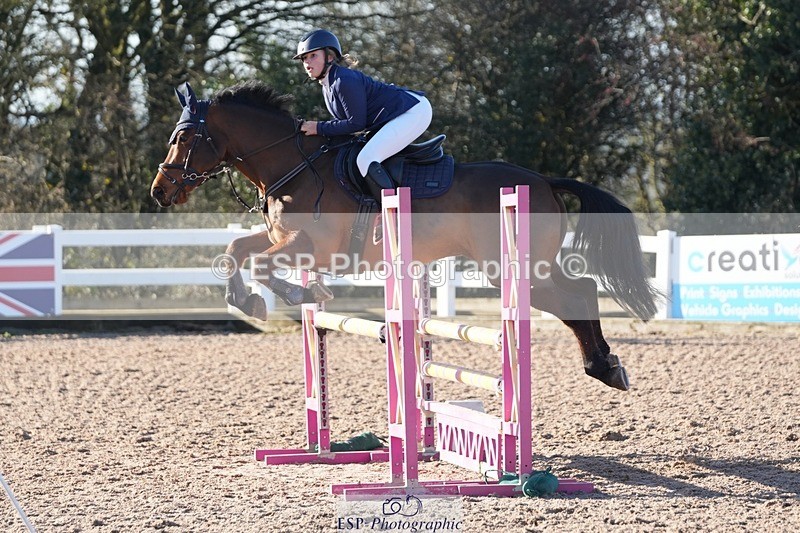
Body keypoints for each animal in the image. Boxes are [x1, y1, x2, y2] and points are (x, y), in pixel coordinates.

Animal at [151, 80, 660, 392]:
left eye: (183, 138)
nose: (160, 191)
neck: (291, 165)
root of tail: (544, 181)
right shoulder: (284, 238)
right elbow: (235, 250)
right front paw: (250, 301)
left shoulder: (312, 247)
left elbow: (258, 263)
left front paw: (301, 294)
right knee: (581, 292)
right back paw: (607, 367)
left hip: (512, 268)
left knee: (577, 295)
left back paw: (605, 368)